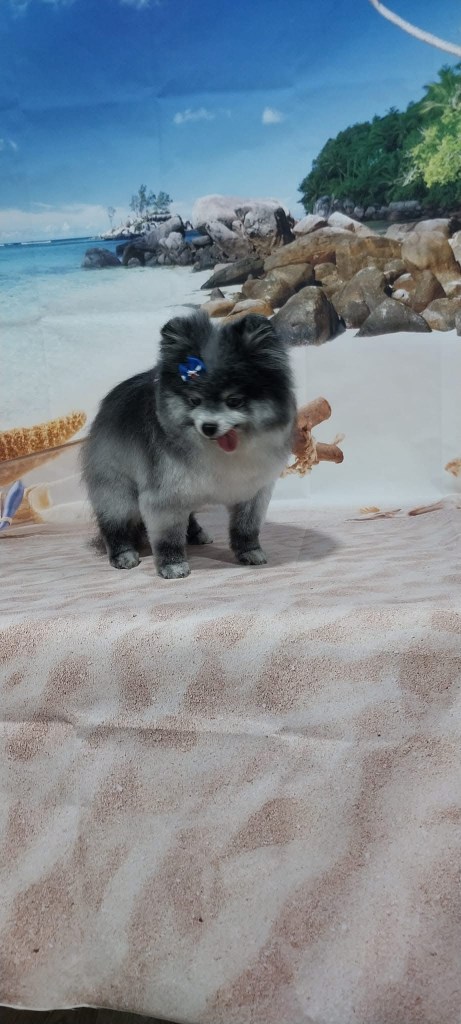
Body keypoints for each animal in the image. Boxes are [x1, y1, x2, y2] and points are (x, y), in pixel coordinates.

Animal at [82, 311, 296, 579]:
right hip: (117, 489)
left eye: (234, 401)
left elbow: (246, 528)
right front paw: (172, 565)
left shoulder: (252, 492)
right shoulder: (165, 496)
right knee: (114, 522)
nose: (209, 426)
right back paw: (123, 554)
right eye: (194, 400)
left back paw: (196, 534)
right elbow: (168, 537)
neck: (221, 451)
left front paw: (249, 551)